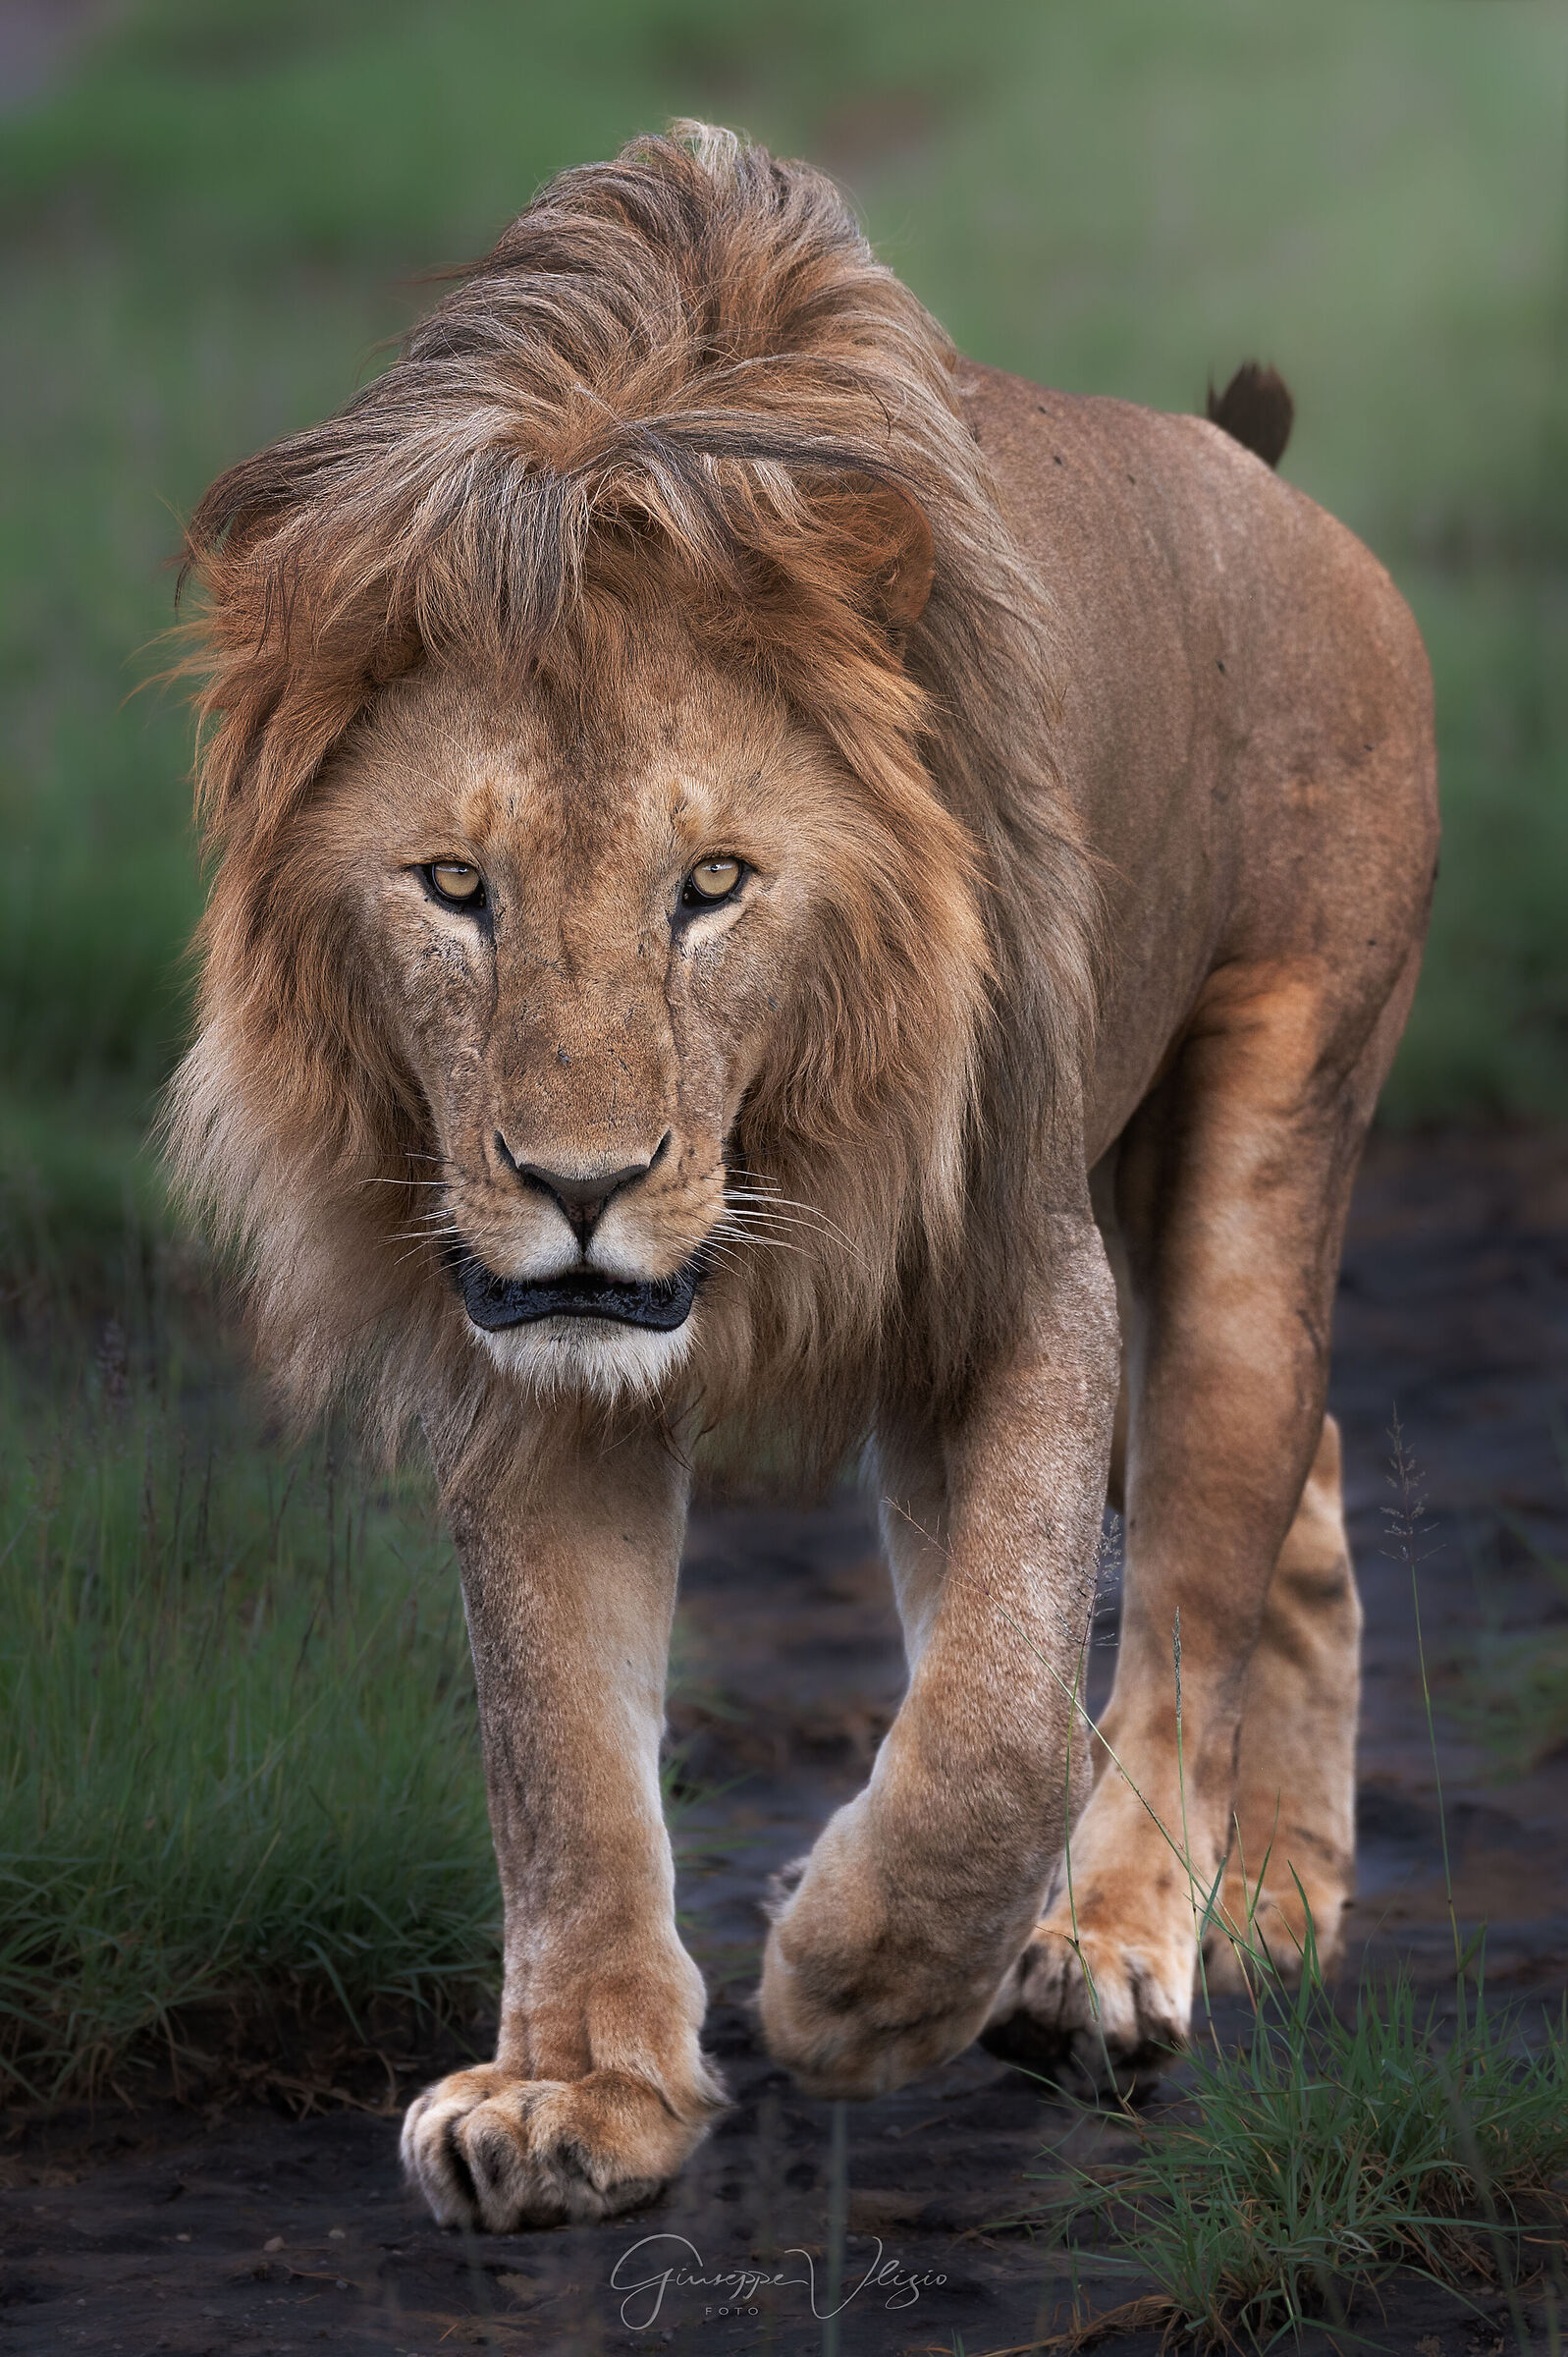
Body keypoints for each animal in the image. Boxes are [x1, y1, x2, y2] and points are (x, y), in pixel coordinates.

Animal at [167, 124, 1437, 2230]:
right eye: (454, 886)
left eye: (715, 886)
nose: (579, 1182)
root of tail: (1248, 468)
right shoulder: (532, 1351)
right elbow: (559, 1746)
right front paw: (579, 2095)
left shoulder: (1016, 1268)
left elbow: (1002, 1723)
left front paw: (863, 1988)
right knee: (1306, 1499)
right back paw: (1272, 1898)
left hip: (1263, 1134)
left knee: (1194, 1568)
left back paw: (1116, 1948)